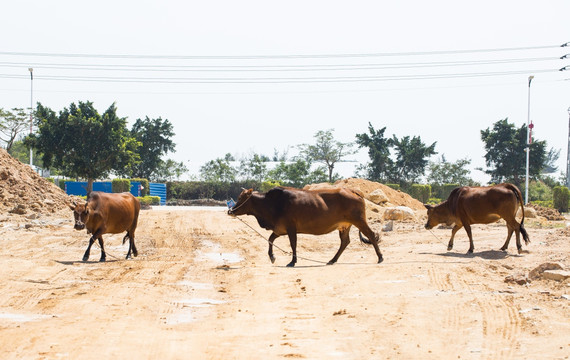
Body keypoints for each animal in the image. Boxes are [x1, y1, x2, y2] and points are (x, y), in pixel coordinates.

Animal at [226, 186, 382, 268]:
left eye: (240, 198)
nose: (230, 211)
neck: (272, 204)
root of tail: (353, 191)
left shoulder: (291, 228)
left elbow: (293, 244)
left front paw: (292, 261)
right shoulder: (280, 229)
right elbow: (270, 239)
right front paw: (272, 256)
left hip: (359, 221)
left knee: (371, 235)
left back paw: (380, 257)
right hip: (345, 226)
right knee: (345, 242)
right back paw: (332, 260)